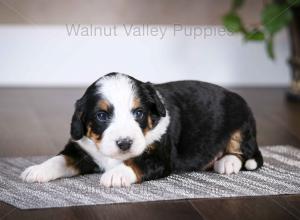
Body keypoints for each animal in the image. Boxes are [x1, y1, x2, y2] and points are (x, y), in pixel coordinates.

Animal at [21, 73, 264, 186]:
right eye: (101, 115)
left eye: (138, 112)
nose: (124, 143)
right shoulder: (81, 150)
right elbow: (59, 159)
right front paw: (36, 170)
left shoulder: (158, 157)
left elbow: (136, 162)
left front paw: (115, 175)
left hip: (242, 122)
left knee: (244, 152)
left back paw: (227, 162)